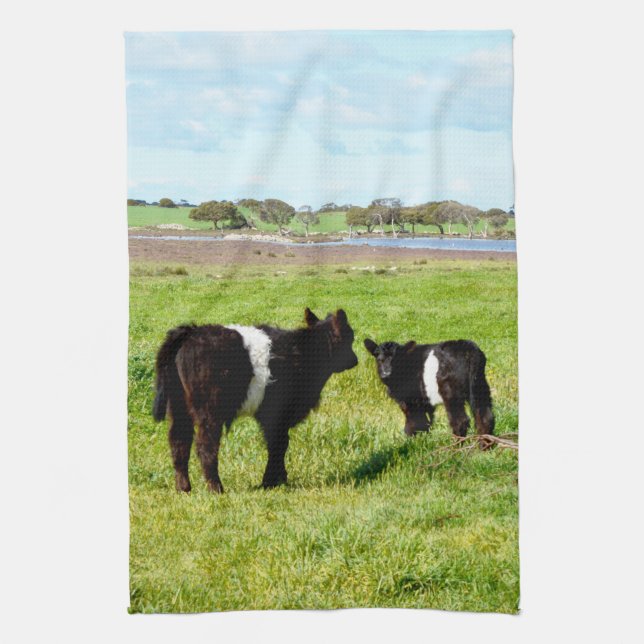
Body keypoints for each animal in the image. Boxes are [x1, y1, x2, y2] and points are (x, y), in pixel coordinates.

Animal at [153, 309, 358, 493]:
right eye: (350, 338)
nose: (355, 360)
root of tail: (191, 332)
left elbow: (278, 445)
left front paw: (279, 479)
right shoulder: (276, 415)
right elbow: (279, 445)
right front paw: (270, 481)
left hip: (178, 406)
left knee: (179, 442)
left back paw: (183, 488)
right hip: (209, 411)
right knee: (205, 446)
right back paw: (216, 488)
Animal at [363, 338, 495, 438]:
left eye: (397, 360)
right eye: (379, 359)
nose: (386, 373)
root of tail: (468, 348)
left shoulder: (410, 401)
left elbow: (413, 422)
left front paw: (411, 440)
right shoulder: (425, 401)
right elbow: (426, 422)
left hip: (450, 392)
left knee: (460, 420)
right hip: (480, 385)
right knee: (485, 417)